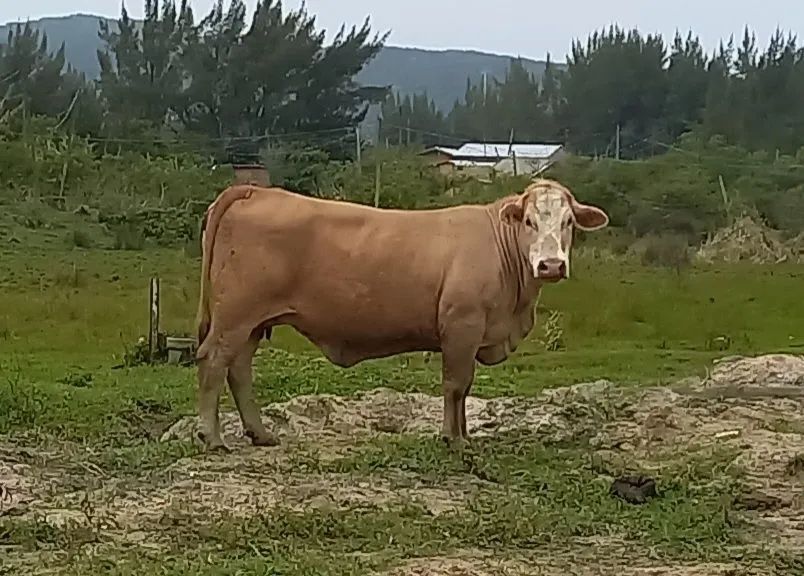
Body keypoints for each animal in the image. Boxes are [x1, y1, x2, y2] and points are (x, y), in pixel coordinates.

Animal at [194, 178, 609, 452]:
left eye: (568, 222)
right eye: (529, 221)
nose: (551, 265)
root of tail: (256, 189)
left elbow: (465, 388)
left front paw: (464, 435)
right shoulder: (462, 325)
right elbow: (455, 385)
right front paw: (452, 439)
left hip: (252, 322)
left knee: (239, 369)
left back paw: (260, 433)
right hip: (235, 317)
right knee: (213, 362)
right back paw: (212, 438)